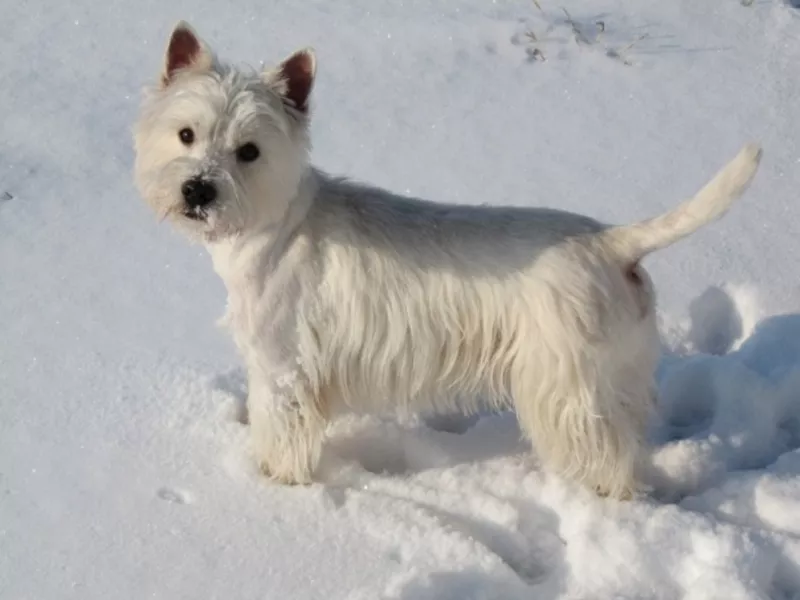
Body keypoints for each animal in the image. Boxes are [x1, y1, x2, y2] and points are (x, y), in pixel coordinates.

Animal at [133, 23, 764, 500]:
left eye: (249, 151)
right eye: (186, 134)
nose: (198, 190)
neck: (273, 226)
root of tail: (614, 243)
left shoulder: (284, 366)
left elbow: (281, 434)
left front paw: (275, 486)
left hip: (566, 383)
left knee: (607, 460)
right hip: (615, 374)